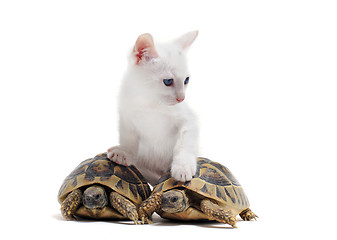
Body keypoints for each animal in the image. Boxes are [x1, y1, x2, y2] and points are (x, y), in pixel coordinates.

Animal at [106, 31, 198, 186]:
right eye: (168, 81)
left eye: (186, 80)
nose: (182, 98)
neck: (149, 101)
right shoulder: (126, 117)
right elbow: (129, 138)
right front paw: (124, 153)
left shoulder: (188, 120)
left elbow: (184, 144)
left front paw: (183, 167)